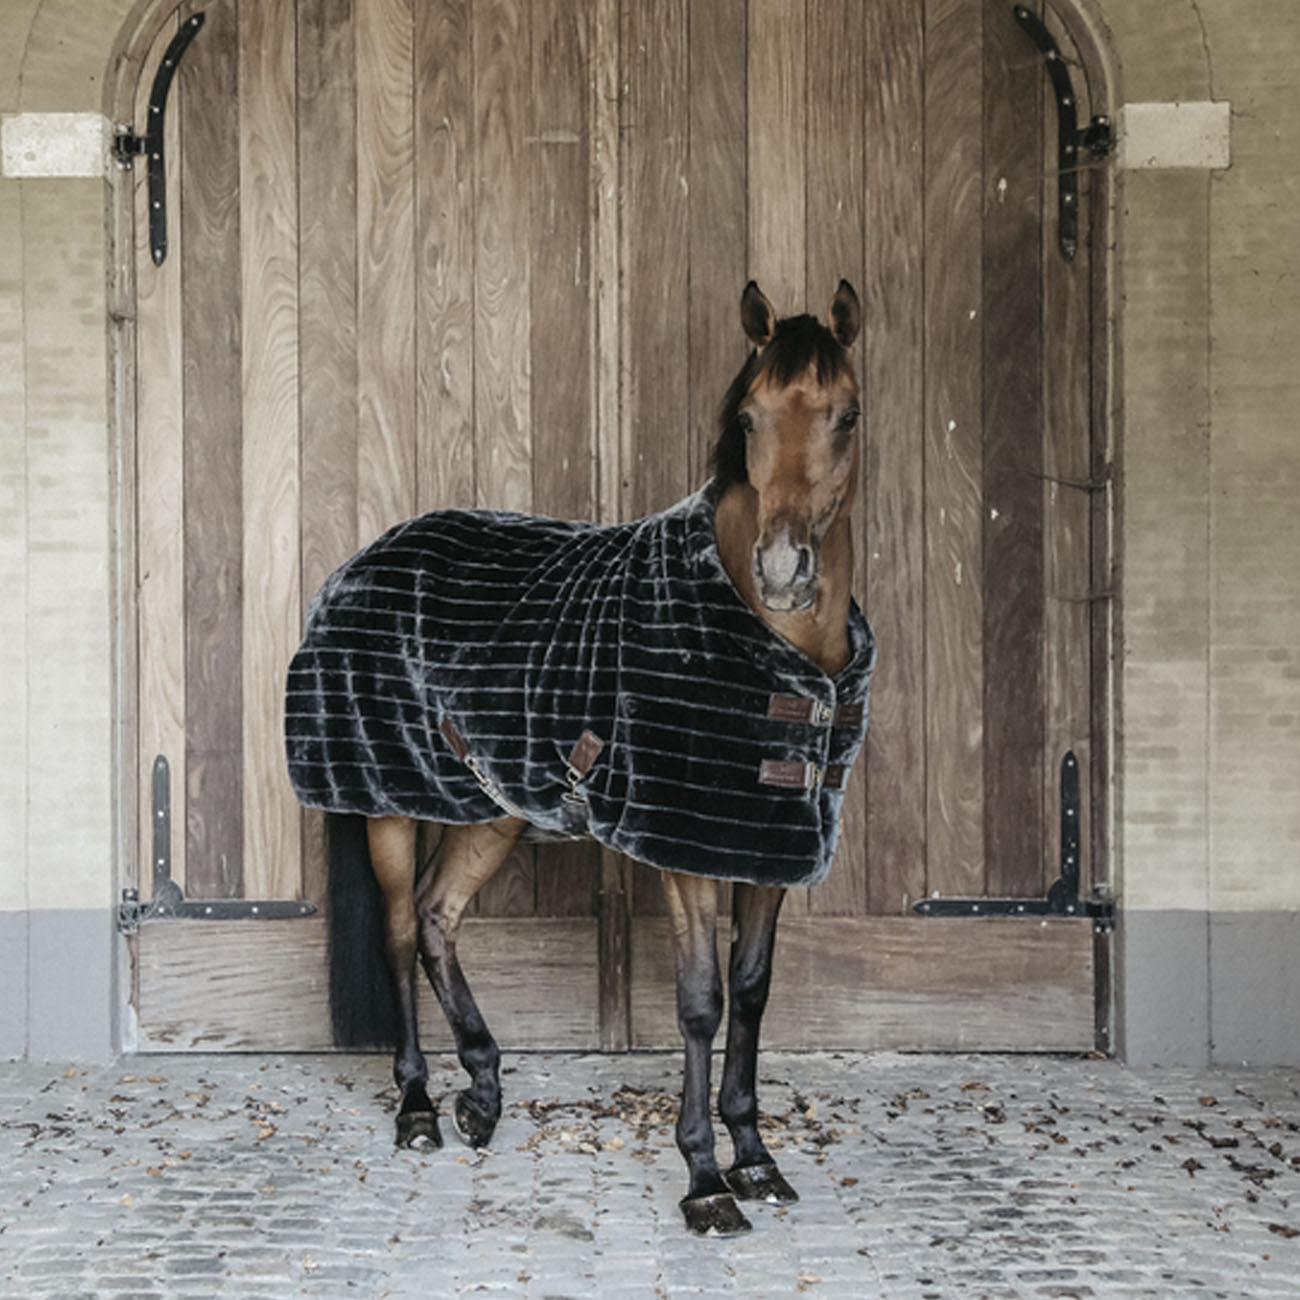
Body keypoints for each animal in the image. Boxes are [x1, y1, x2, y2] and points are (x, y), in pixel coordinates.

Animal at [284, 280, 875, 1236]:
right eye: (747, 417)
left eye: (846, 415)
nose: (785, 569)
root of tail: (360, 563)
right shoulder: (683, 853)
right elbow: (701, 1001)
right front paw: (704, 1180)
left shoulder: (766, 845)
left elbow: (751, 990)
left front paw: (755, 1157)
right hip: (386, 801)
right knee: (403, 929)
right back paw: (416, 1105)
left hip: (491, 809)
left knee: (441, 918)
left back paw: (483, 1091)